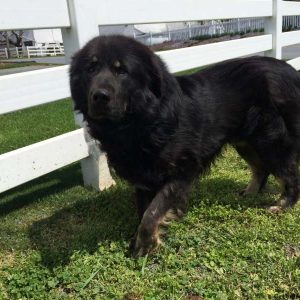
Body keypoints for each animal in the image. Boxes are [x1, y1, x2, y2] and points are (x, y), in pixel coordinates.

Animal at [69, 34, 300, 255]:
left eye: (122, 71)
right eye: (91, 68)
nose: (99, 96)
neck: (145, 119)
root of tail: (291, 71)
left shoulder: (183, 169)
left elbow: (153, 211)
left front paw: (146, 243)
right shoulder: (143, 178)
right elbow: (144, 211)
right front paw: (142, 238)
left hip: (271, 140)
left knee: (289, 174)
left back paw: (284, 204)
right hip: (245, 140)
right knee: (261, 169)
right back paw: (250, 193)